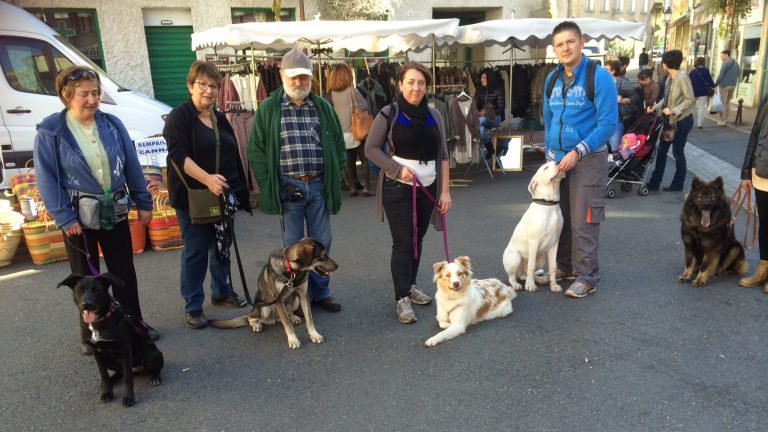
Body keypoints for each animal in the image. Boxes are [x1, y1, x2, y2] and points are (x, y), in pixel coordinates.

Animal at [58, 274, 164, 408]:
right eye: (80, 289)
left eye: (97, 290)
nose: (87, 304)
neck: (98, 321)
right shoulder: (96, 352)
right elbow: (104, 374)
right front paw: (107, 392)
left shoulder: (125, 349)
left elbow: (128, 379)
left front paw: (129, 398)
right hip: (108, 359)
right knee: (120, 373)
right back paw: (111, 380)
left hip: (152, 354)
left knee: (148, 369)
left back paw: (155, 377)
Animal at [207, 238, 336, 350]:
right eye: (322, 256)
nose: (337, 266)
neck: (293, 271)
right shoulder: (278, 300)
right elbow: (287, 324)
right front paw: (293, 340)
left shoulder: (303, 296)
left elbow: (309, 319)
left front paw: (314, 335)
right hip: (265, 308)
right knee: (251, 317)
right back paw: (256, 324)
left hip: (295, 300)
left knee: (286, 314)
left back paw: (293, 316)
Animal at [500, 162, 568, 294]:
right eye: (546, 167)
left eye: (555, 162)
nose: (558, 162)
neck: (549, 205)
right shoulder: (534, 242)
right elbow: (531, 266)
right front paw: (530, 285)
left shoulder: (555, 243)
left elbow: (553, 266)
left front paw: (554, 285)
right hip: (514, 256)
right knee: (513, 277)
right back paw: (517, 284)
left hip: (541, 258)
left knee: (526, 274)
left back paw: (540, 279)